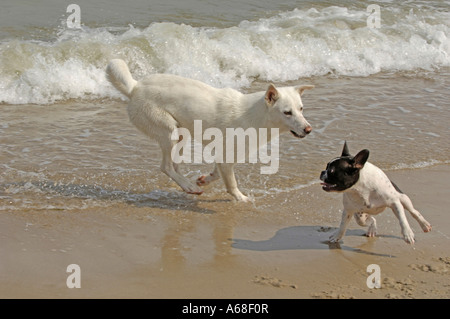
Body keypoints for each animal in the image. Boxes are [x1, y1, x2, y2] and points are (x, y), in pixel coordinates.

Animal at [107, 58, 314, 201]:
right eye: (287, 112)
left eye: (301, 109)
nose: (309, 129)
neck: (257, 116)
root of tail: (135, 87)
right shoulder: (226, 157)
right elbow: (231, 183)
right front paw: (242, 199)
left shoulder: (223, 155)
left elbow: (216, 174)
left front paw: (204, 180)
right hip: (169, 131)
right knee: (165, 166)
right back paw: (189, 186)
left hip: (181, 134)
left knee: (174, 165)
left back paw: (189, 185)